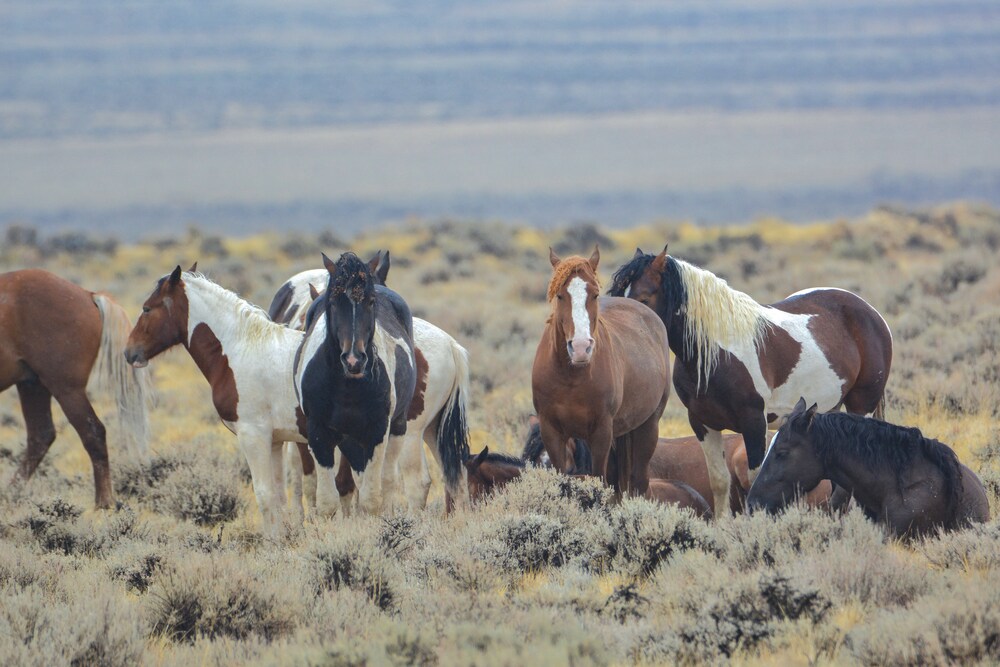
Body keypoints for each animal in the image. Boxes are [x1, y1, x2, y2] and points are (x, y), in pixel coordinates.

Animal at [0, 268, 152, 508]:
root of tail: (88, 295)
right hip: (33, 385)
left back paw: (104, 503)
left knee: (93, 432)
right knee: (41, 436)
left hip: (65, 389)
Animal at [127, 266, 310, 536]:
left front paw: (272, 542)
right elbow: (278, 496)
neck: (239, 352)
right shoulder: (276, 440)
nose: (129, 352)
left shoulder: (253, 436)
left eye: (147, 308)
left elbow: (264, 496)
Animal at [532, 247, 672, 496]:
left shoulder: (601, 432)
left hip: (648, 426)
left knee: (639, 480)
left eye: (595, 295)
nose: (580, 348)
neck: (571, 377)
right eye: (560, 295)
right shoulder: (551, 432)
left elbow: (599, 483)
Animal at [604, 248, 896, 516]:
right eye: (617, 294)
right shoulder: (702, 423)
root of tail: (872, 312)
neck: (717, 353)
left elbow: (757, 478)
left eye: (644, 297)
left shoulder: (754, 421)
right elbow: (719, 481)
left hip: (861, 406)